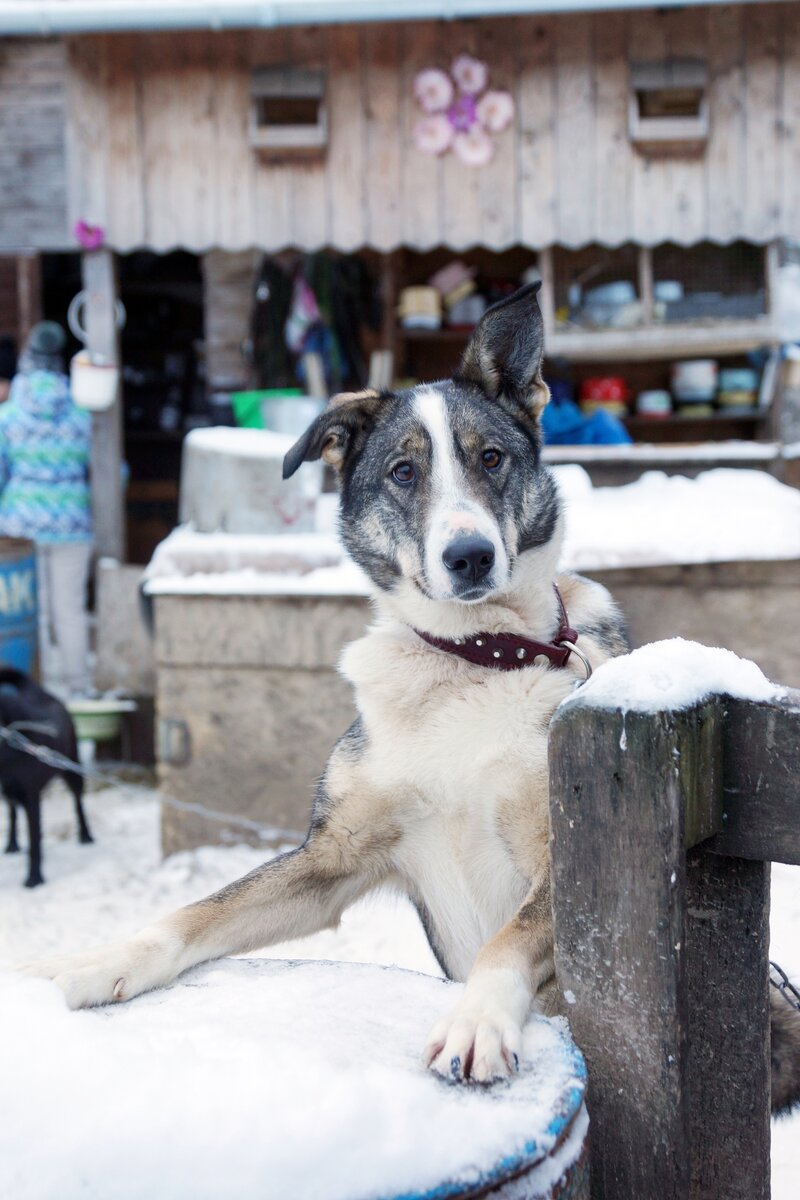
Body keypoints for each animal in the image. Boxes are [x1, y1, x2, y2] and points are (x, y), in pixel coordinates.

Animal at [0, 662, 92, 888]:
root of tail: (41, 693)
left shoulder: (32, 799)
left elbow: (34, 843)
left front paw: (34, 878)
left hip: (72, 769)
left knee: (79, 804)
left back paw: (86, 835)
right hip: (8, 793)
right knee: (12, 813)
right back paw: (12, 844)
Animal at [20, 285, 800, 1108]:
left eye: (490, 458)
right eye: (402, 472)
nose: (470, 557)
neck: (471, 658)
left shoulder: (566, 858)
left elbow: (505, 941)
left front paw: (476, 1021)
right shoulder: (330, 857)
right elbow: (199, 912)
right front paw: (89, 964)